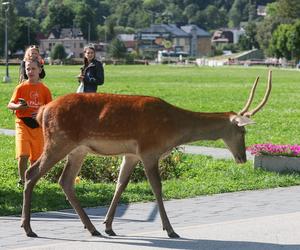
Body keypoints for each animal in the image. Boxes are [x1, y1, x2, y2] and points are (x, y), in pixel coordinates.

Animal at [20, 71, 272, 238]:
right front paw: (170, 230)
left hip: (78, 149)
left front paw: (109, 225)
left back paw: (92, 228)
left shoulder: (132, 154)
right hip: (59, 140)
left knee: (65, 181)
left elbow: (120, 184)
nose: (242, 158)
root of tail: (42, 110)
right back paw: (29, 228)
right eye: (242, 130)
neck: (173, 129)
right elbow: (157, 188)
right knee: (32, 173)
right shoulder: (150, 150)